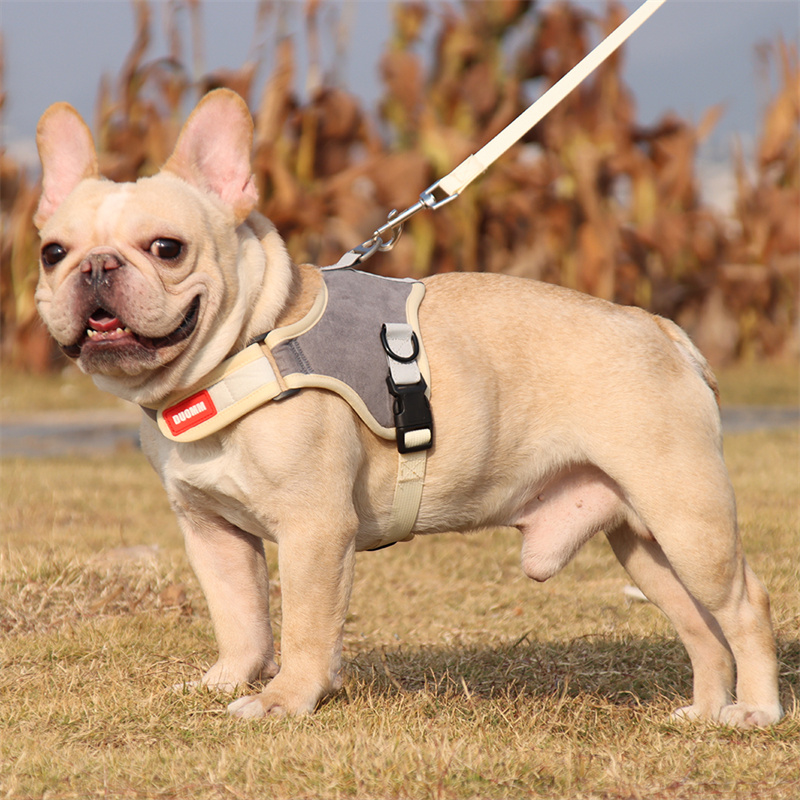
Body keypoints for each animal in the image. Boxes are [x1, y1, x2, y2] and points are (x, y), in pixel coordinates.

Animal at [32, 87, 780, 724]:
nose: (95, 268)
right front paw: (226, 681)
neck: (245, 347)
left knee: (744, 603)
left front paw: (284, 701)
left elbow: (305, 626)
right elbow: (240, 618)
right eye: (51, 253)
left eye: (166, 248)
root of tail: (663, 329)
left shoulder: (315, 528)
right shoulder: (212, 531)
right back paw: (704, 711)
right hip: (642, 537)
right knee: (699, 623)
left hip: (687, 515)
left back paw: (756, 712)